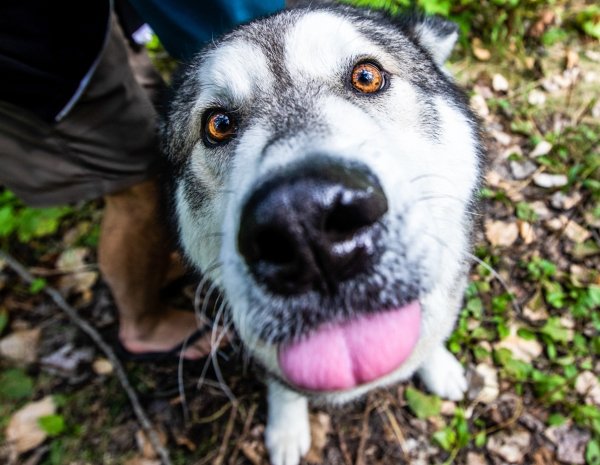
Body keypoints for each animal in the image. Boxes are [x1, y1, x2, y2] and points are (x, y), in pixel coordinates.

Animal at [162, 4, 486, 464]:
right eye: (218, 124)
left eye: (367, 76)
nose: (304, 224)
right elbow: (283, 385)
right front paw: (286, 428)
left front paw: (438, 366)